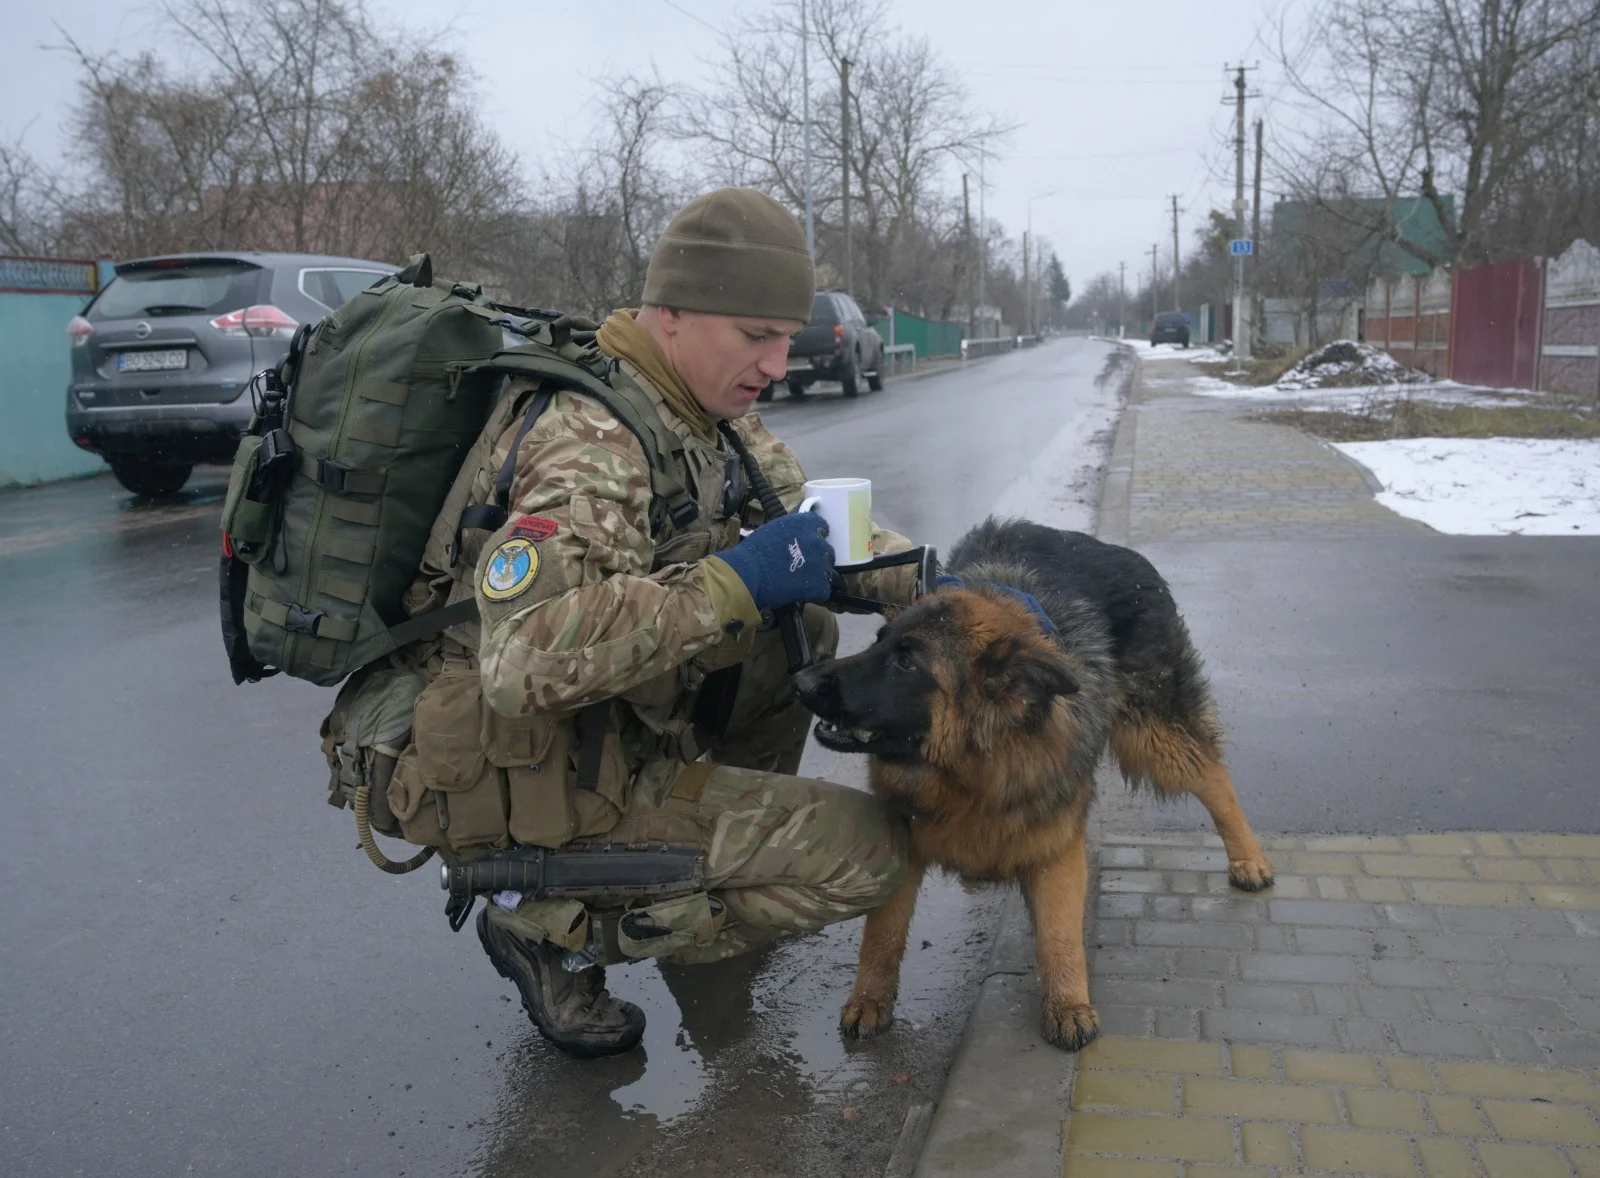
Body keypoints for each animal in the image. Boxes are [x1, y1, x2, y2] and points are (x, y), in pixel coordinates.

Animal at [790, 518, 1273, 1049]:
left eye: (907, 663)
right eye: (878, 640)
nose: (801, 682)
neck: (971, 772)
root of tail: (1117, 550)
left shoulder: (1055, 846)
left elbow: (1060, 935)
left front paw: (1069, 1004)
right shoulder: (904, 846)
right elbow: (883, 934)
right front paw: (870, 999)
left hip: (1156, 735)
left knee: (1215, 780)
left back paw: (1248, 858)